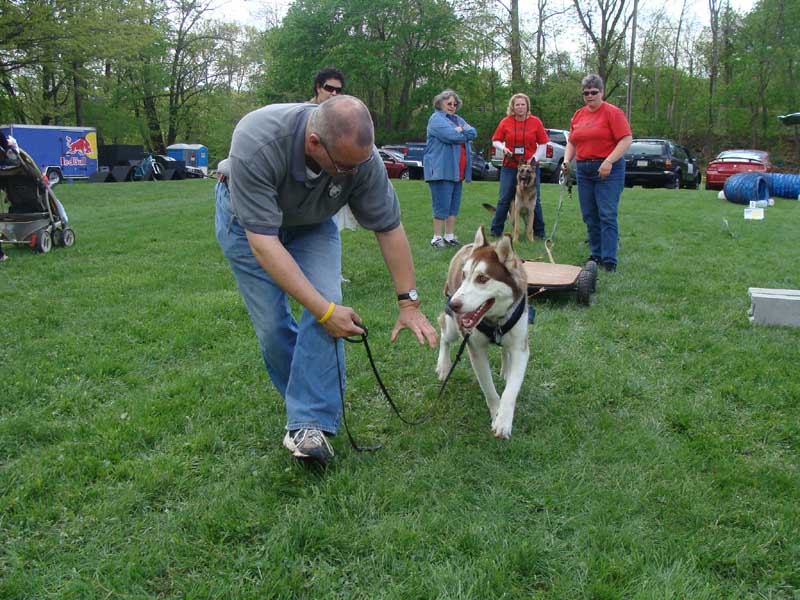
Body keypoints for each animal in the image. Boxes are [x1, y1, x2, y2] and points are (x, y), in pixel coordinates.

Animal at [434, 227, 528, 438]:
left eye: (482, 278)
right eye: (464, 275)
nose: (454, 304)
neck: (496, 321)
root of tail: (467, 246)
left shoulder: (521, 348)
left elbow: (511, 391)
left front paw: (504, 421)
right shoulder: (475, 349)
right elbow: (489, 389)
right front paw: (496, 414)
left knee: (504, 349)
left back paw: (505, 369)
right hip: (452, 327)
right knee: (443, 332)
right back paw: (443, 366)